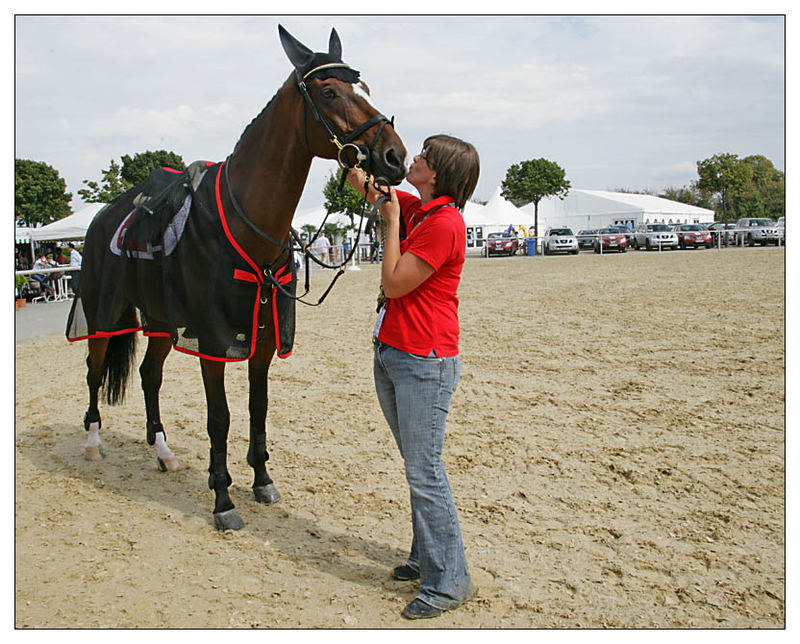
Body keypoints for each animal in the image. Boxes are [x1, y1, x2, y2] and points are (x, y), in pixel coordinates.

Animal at [64, 23, 406, 528]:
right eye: (329, 91)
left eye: (364, 87)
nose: (395, 157)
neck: (248, 224)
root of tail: (104, 217)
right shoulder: (214, 342)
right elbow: (220, 418)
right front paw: (223, 499)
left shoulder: (263, 340)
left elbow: (257, 407)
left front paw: (261, 480)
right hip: (105, 315)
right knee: (93, 371)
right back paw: (92, 444)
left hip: (162, 323)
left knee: (149, 376)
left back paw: (163, 452)